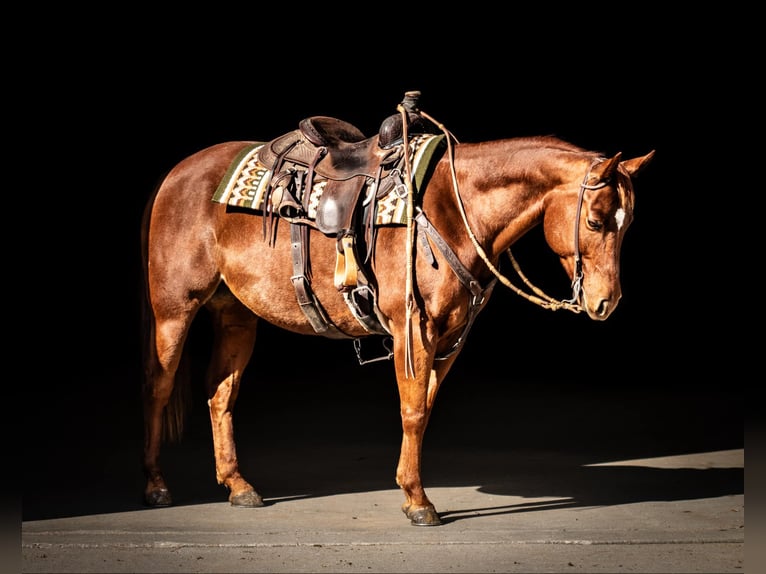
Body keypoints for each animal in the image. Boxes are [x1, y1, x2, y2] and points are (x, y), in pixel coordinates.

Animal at [141, 93, 656, 528]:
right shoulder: (414, 329)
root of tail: (174, 174)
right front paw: (418, 501)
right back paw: (156, 486)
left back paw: (238, 485)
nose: (606, 302)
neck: (453, 206)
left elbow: (424, 407)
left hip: (236, 316)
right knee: (160, 387)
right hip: (174, 310)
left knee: (220, 394)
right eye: (595, 221)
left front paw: (412, 493)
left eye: (628, 223)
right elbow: (412, 411)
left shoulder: (451, 336)